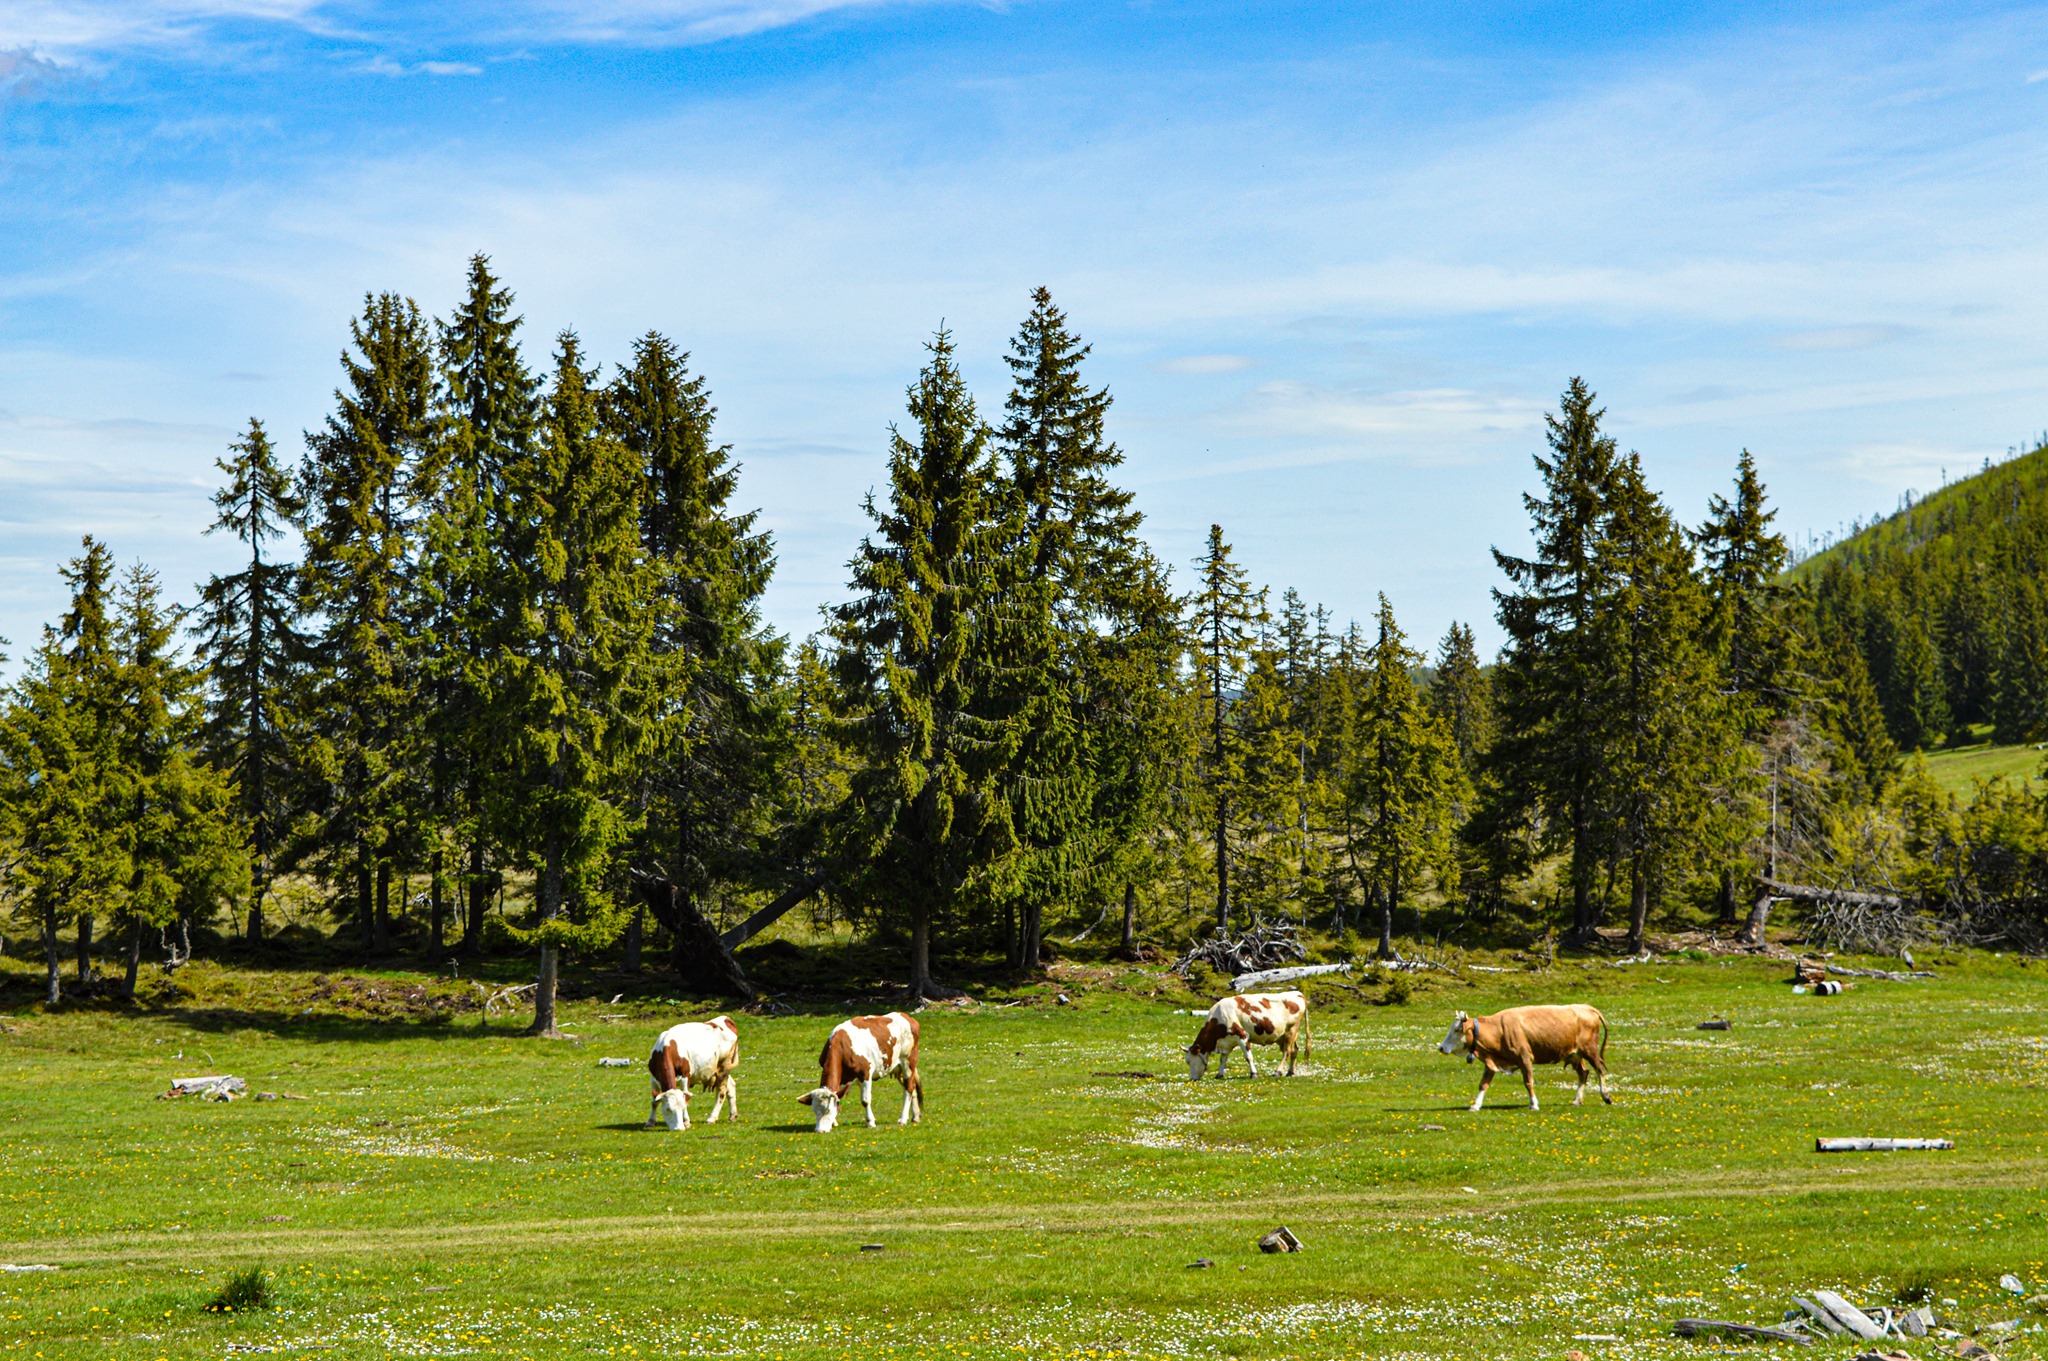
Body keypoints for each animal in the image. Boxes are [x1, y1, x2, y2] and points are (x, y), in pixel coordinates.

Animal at [794, 1015, 925, 1129]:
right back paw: (915, 1117)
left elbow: (865, 1100)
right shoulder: (843, 1080)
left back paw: (903, 1119)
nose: (820, 1130)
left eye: (828, 1110)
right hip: (897, 1068)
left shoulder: (865, 1074)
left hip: (908, 1063)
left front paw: (870, 1122)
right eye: (814, 1111)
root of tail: (908, 1017)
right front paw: (834, 1123)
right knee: (912, 1089)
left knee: (909, 1089)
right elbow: (838, 1097)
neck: (842, 1047)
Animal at [1441, 1002, 1613, 1113]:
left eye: (1456, 1029)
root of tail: (1585, 1007)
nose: (1441, 1047)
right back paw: (1577, 1100)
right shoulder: (1492, 1062)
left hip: (1590, 1050)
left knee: (1600, 1069)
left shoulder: (1525, 1058)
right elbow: (1483, 1084)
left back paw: (1606, 1096)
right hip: (1575, 1054)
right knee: (1583, 1073)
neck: (1498, 1030)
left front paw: (1534, 1104)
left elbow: (1528, 1082)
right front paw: (1475, 1105)